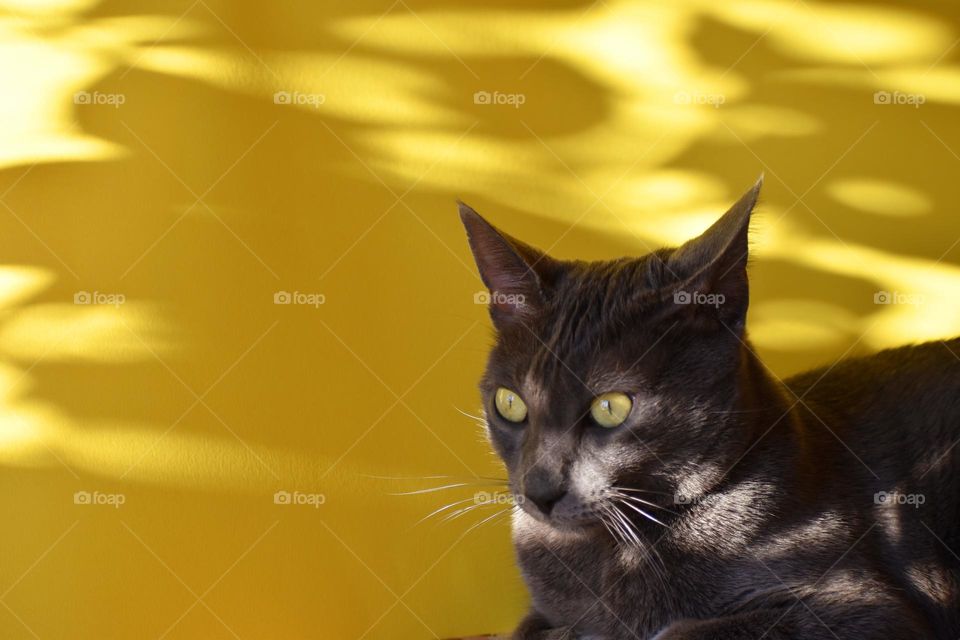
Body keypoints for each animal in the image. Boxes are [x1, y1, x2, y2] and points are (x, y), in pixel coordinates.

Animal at [456, 176, 960, 640]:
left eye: (611, 408)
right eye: (510, 403)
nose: (539, 491)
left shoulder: (864, 606)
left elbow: (683, 631)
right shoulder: (542, 613)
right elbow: (529, 630)